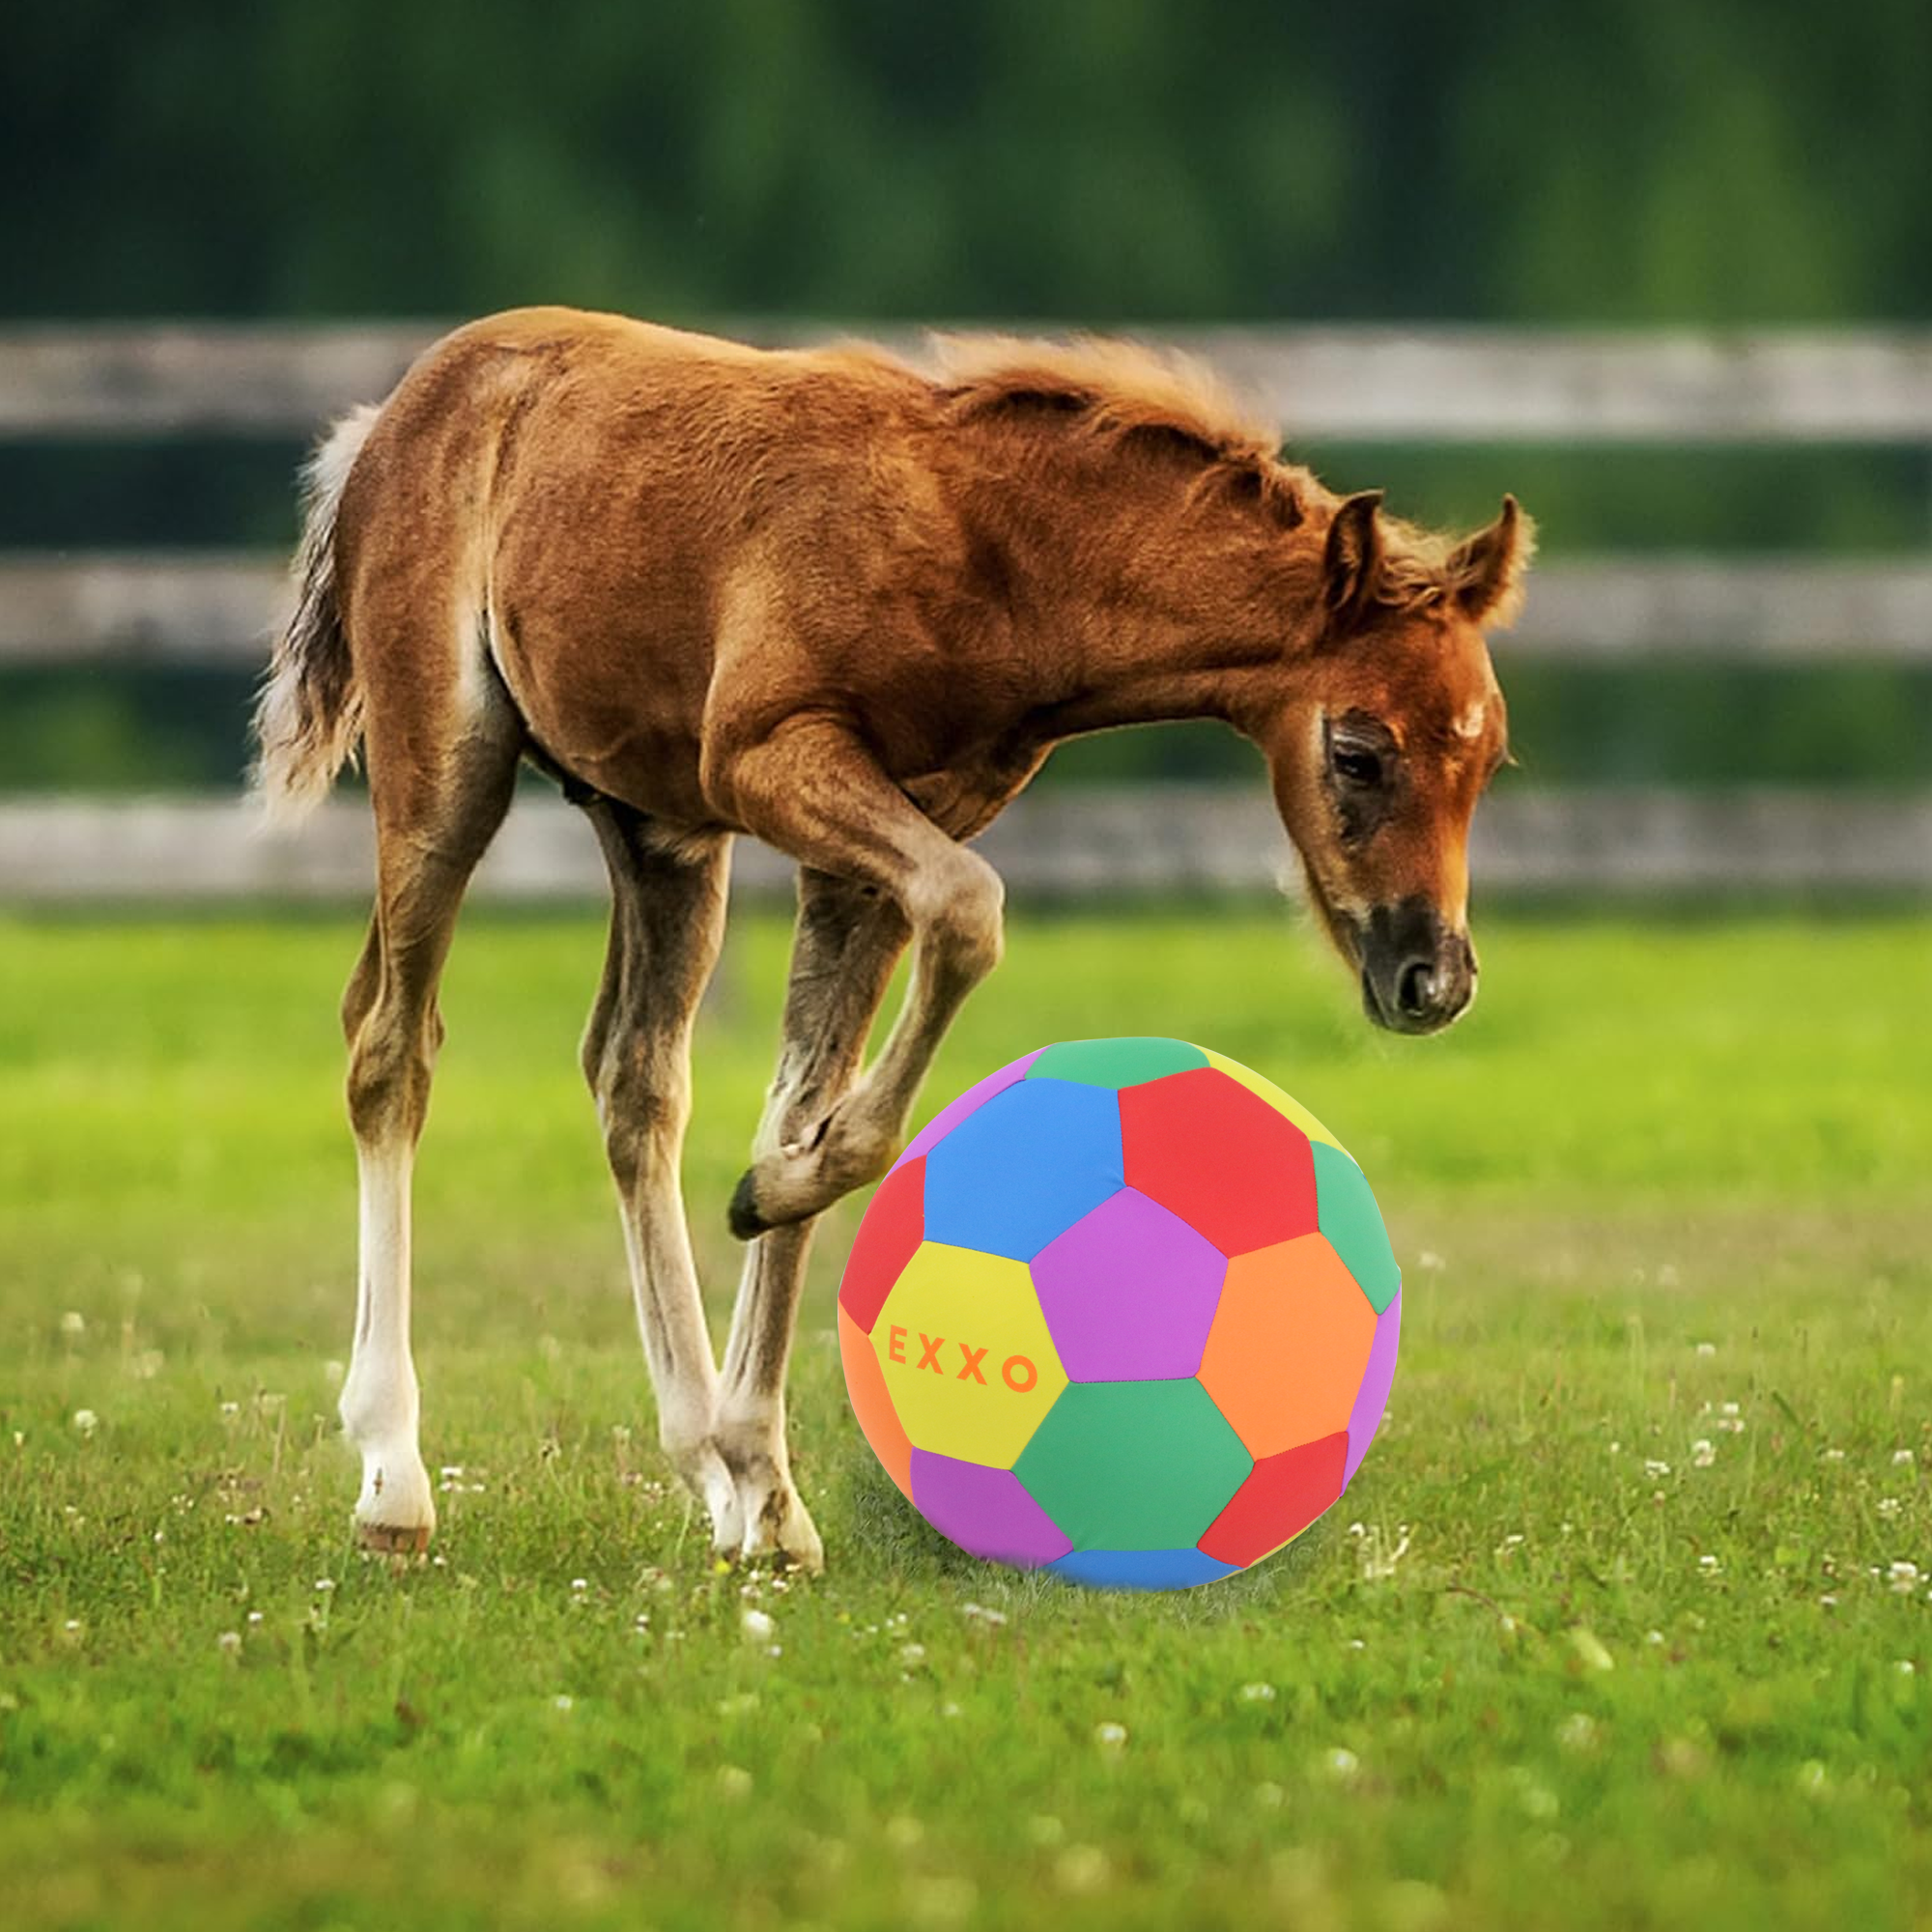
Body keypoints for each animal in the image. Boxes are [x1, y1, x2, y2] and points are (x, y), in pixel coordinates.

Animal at [251, 307, 1531, 1571]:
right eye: (1358, 752)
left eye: (1486, 761)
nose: (1432, 978)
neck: (991, 552)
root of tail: (391, 414)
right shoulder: (773, 757)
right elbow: (967, 915)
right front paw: (769, 1210)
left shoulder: (869, 849)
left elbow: (802, 1099)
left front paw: (765, 1472)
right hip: (447, 760)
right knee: (390, 1045)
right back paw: (394, 1477)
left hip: (659, 828)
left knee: (632, 1078)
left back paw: (700, 1461)